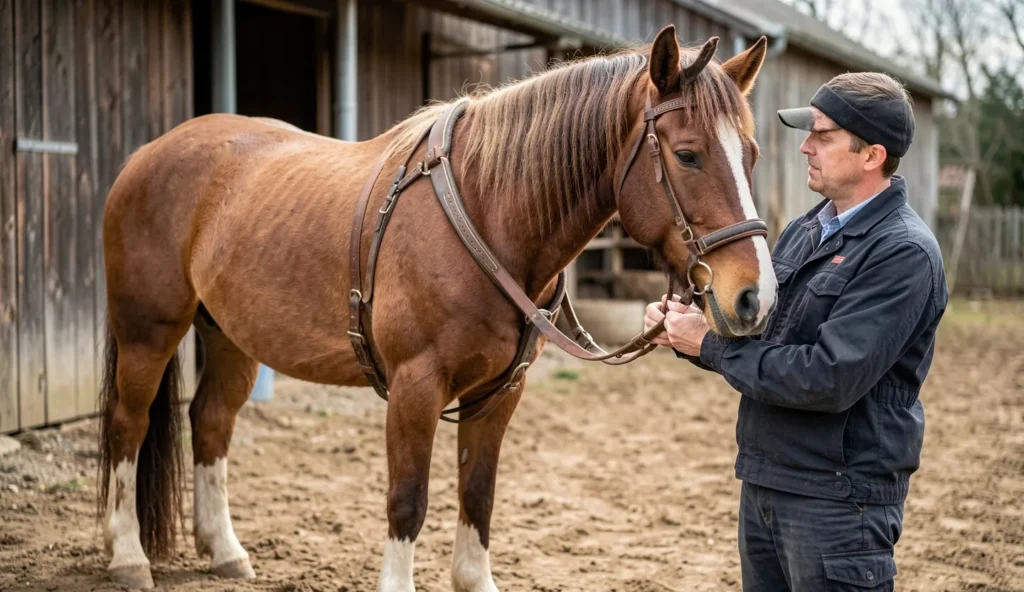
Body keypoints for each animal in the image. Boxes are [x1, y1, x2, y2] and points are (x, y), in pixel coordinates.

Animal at [96, 25, 775, 591]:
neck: (486, 209)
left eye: (751, 155)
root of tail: (147, 154)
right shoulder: (415, 386)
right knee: (128, 426)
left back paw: (225, 552)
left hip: (231, 337)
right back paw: (129, 558)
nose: (756, 296)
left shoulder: (501, 392)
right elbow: (408, 500)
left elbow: (478, 494)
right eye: (686, 154)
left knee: (210, 422)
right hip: (148, 331)